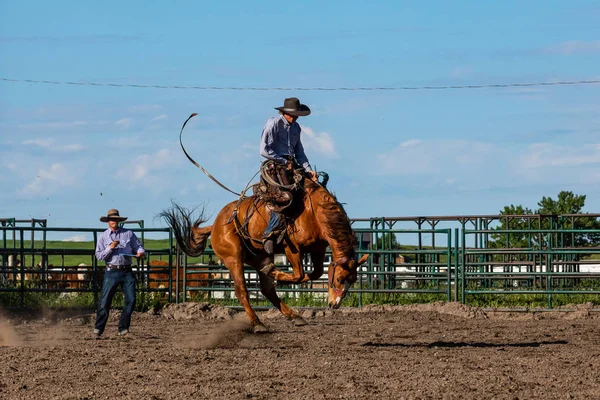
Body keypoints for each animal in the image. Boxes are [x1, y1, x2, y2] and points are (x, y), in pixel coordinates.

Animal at [159, 177, 368, 332]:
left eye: (352, 280)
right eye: (339, 279)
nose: (334, 305)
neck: (315, 211)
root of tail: (216, 224)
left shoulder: (317, 248)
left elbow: (315, 273)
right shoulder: (290, 246)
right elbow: (299, 275)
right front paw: (277, 273)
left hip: (260, 254)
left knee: (267, 289)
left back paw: (294, 315)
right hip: (233, 257)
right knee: (242, 291)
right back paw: (258, 322)